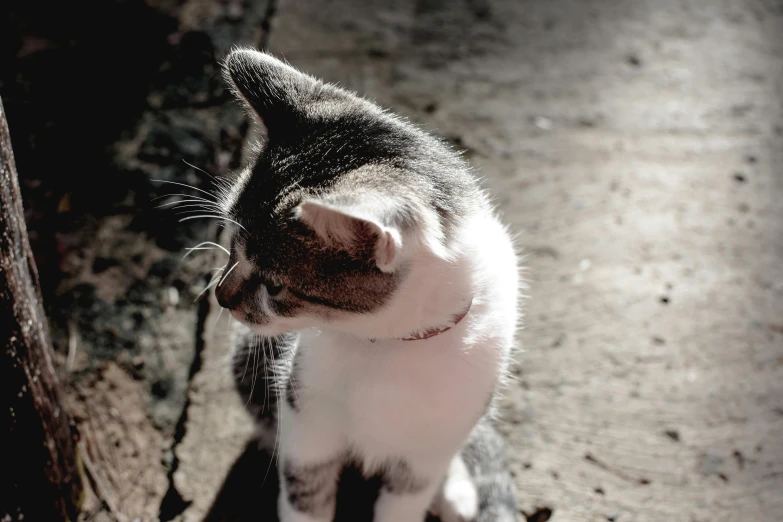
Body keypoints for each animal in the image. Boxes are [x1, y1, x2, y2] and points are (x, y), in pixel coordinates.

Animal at [216, 49, 520, 520]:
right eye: (232, 246)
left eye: (275, 286)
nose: (220, 296)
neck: (386, 344)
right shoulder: (307, 417)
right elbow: (305, 495)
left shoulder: (430, 447)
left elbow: (406, 500)